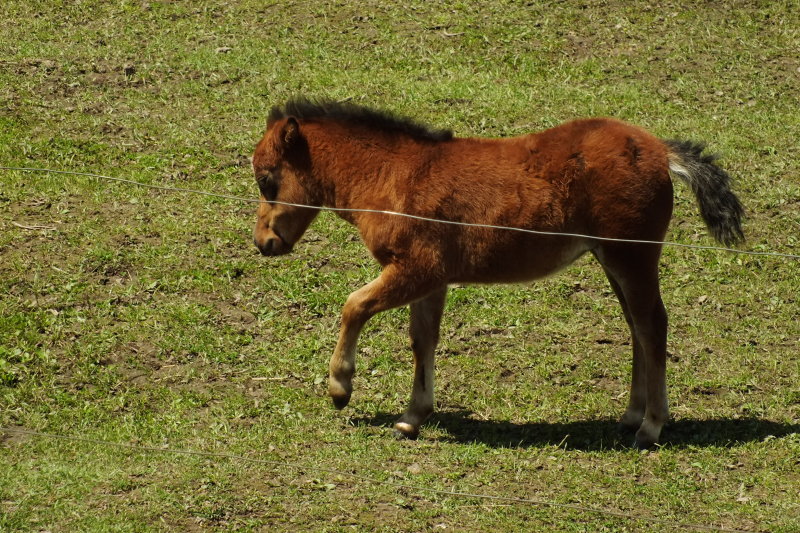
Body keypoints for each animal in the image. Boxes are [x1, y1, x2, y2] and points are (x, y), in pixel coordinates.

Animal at [250, 97, 744, 446]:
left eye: (266, 179)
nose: (264, 243)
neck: (395, 177)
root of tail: (661, 151)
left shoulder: (416, 269)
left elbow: (354, 305)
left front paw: (340, 387)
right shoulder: (433, 280)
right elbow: (422, 339)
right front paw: (412, 418)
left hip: (632, 256)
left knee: (652, 324)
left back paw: (651, 426)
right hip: (613, 259)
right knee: (637, 327)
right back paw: (630, 416)